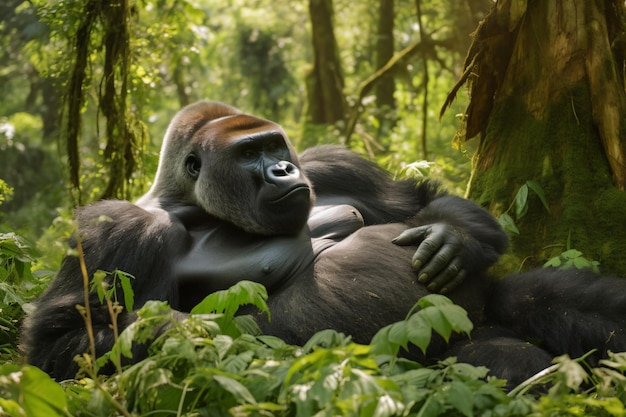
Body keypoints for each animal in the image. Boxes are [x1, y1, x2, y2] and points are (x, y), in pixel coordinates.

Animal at [23, 100, 626, 384]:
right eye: (248, 154)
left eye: (273, 145)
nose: (283, 169)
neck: (189, 200)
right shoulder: (118, 227)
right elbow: (64, 340)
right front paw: (196, 331)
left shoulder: (330, 163)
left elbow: (413, 200)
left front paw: (452, 236)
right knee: (495, 363)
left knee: (550, 302)